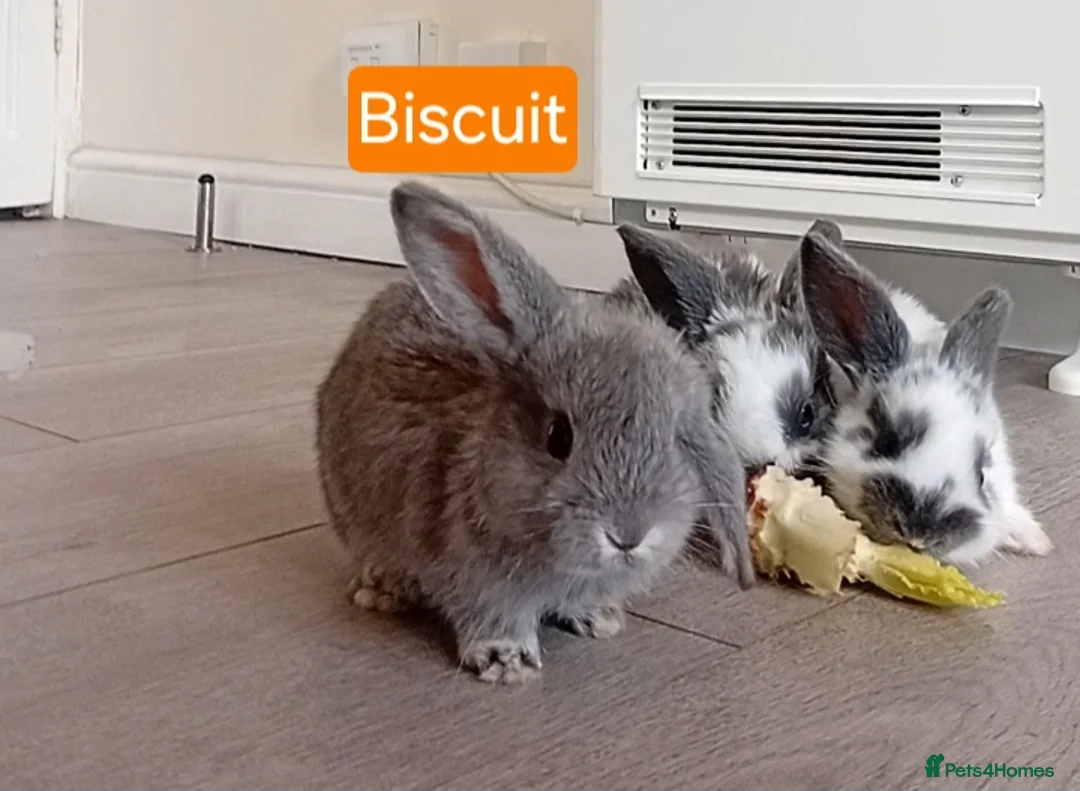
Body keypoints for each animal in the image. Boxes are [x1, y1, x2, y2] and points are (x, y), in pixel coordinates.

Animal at [315, 180, 754, 685]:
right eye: (557, 437)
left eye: (676, 441)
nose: (629, 534)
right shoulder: (479, 588)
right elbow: (492, 618)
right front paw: (507, 663)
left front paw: (600, 619)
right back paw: (383, 590)